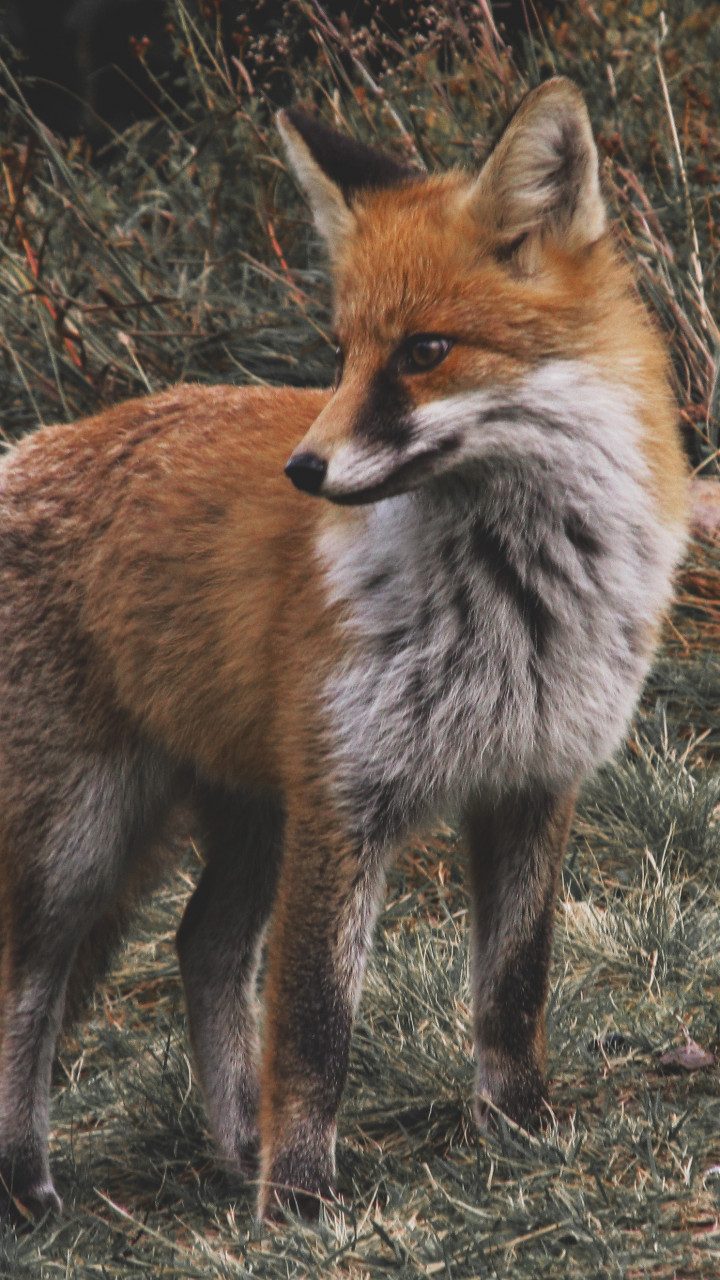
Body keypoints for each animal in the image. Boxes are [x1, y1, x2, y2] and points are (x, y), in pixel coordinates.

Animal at [0, 78, 688, 1222]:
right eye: (341, 352)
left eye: (424, 351)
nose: (304, 468)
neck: (514, 599)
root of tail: (29, 447)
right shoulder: (345, 797)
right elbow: (315, 1024)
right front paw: (299, 1204)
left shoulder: (534, 778)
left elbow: (513, 987)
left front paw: (519, 1131)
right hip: (80, 840)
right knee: (29, 989)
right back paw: (30, 1186)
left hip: (248, 814)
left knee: (202, 946)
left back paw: (236, 1143)